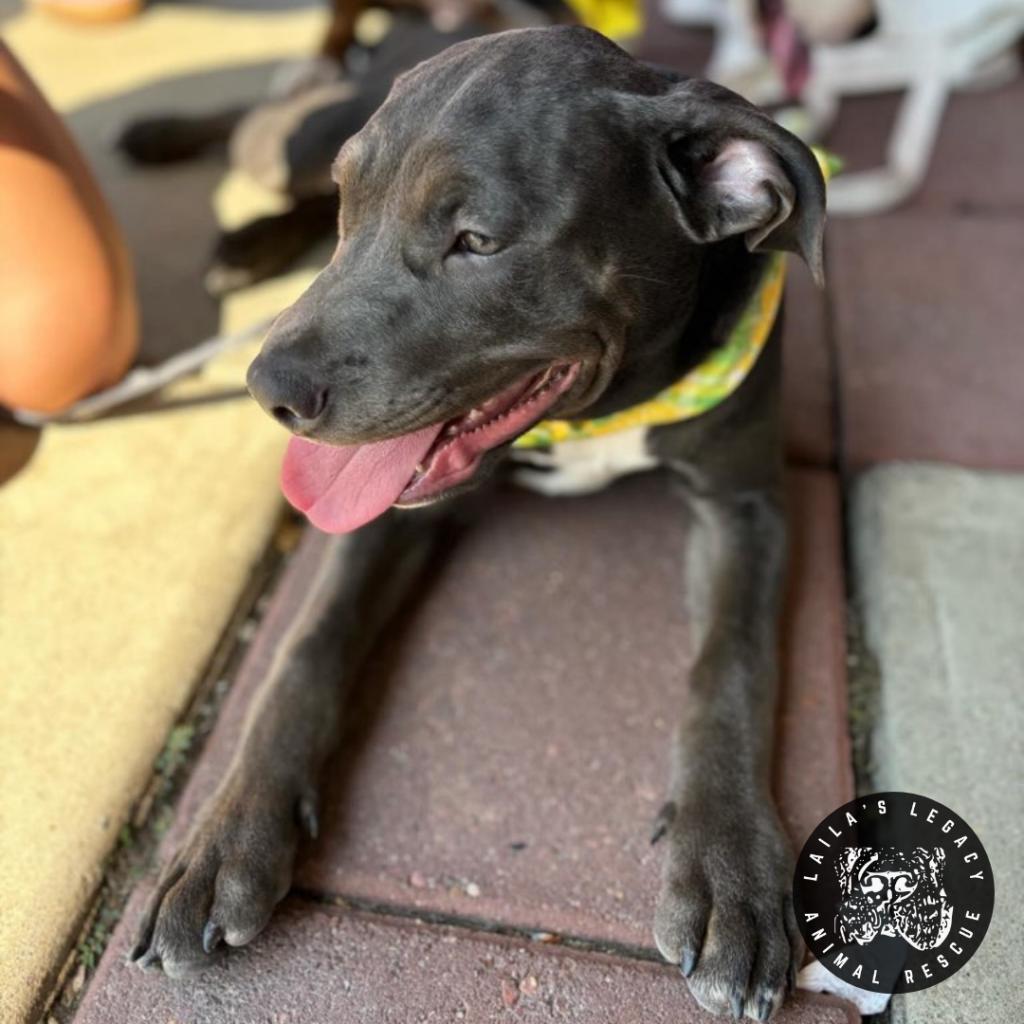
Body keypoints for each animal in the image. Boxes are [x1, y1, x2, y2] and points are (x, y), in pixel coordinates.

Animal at [134, 25, 823, 1024]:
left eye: (477, 242)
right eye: (352, 205)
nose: (269, 390)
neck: (603, 407)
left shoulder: (746, 503)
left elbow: (729, 667)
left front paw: (729, 862)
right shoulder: (381, 512)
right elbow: (307, 645)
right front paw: (224, 837)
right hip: (296, 138)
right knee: (263, 119)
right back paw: (210, 190)